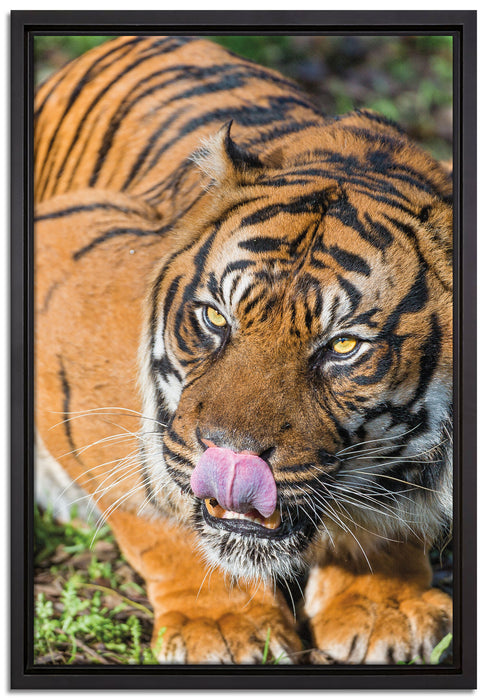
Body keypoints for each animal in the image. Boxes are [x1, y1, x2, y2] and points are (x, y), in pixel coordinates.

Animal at [34, 35, 453, 664]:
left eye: (343, 346)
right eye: (215, 318)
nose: (231, 457)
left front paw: (385, 608)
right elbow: (158, 506)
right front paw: (224, 625)